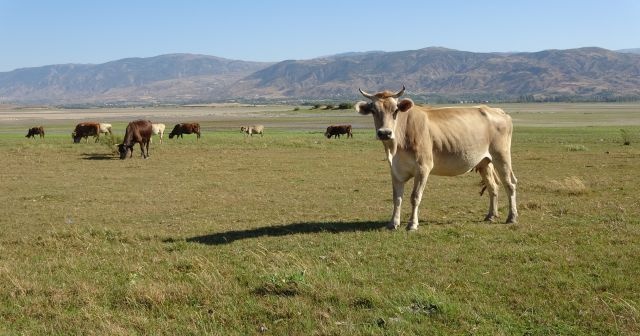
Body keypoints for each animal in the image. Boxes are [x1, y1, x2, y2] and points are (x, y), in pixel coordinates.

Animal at [358, 86, 516, 231]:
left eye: (395, 110)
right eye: (373, 111)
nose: (384, 133)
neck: (396, 147)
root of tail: (497, 110)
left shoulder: (423, 167)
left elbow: (415, 197)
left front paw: (412, 224)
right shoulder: (396, 170)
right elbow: (396, 198)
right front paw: (393, 223)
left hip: (501, 156)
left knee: (510, 184)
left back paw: (512, 217)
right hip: (484, 162)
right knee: (492, 187)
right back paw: (490, 215)